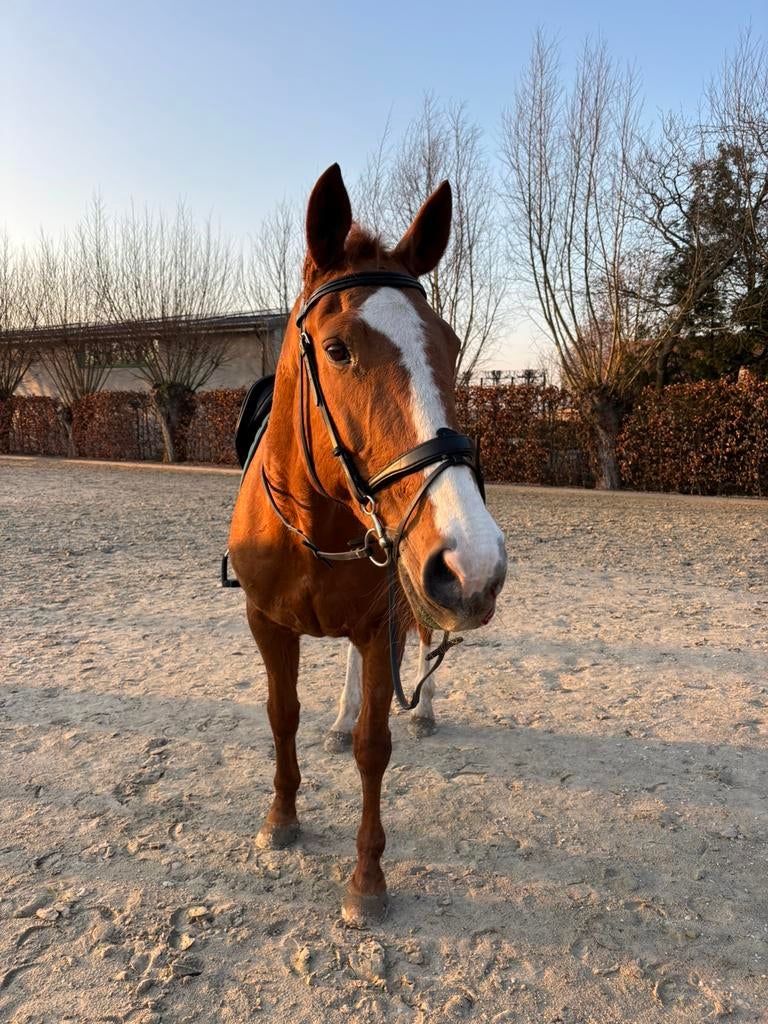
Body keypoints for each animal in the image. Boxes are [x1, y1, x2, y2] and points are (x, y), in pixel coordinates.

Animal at [228, 163, 507, 926]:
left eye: (451, 346)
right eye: (337, 349)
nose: (474, 563)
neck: (315, 529)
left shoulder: (388, 618)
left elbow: (374, 747)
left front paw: (367, 880)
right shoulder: (267, 624)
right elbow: (281, 715)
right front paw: (282, 819)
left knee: (429, 646)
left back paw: (427, 713)